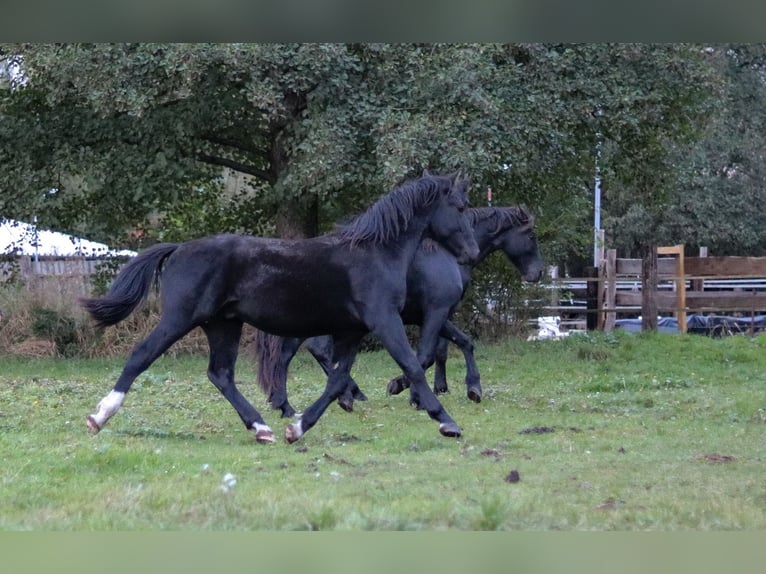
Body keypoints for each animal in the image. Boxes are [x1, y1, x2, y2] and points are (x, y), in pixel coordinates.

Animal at [79, 173, 480, 444]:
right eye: (460, 207)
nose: (472, 252)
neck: (376, 253)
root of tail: (178, 249)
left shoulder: (352, 330)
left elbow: (337, 381)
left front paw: (298, 428)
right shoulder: (384, 321)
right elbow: (411, 365)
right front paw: (446, 421)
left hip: (222, 324)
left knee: (220, 375)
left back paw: (262, 428)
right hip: (181, 318)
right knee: (142, 355)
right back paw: (100, 416)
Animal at [255, 205, 544, 418]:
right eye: (532, 236)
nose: (538, 273)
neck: (445, 253)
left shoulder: (433, 315)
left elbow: (455, 346)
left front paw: (448, 388)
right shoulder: (437, 311)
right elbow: (428, 355)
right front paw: (413, 391)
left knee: (288, 355)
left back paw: (290, 404)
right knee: (308, 352)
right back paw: (342, 396)